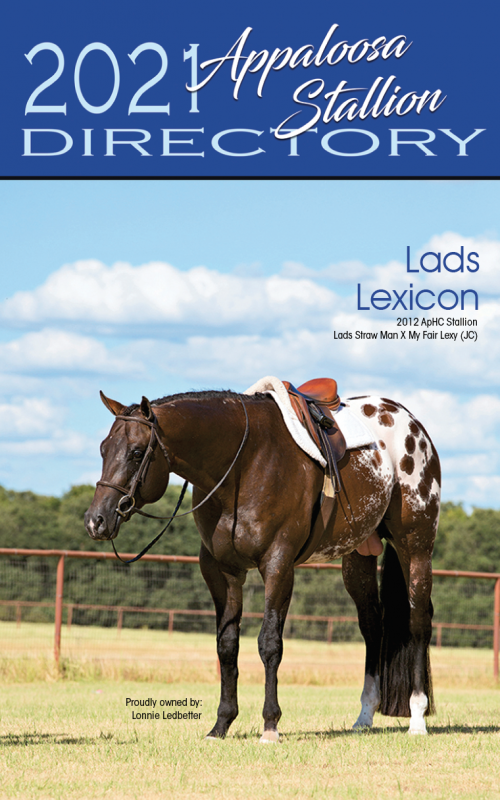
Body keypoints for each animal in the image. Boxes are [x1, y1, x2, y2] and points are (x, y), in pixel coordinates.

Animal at [84, 386, 441, 741]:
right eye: (103, 449)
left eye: (136, 452)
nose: (95, 520)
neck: (242, 465)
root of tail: (412, 424)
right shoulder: (221, 570)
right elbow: (227, 645)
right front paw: (221, 724)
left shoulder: (277, 564)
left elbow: (270, 643)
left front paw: (270, 725)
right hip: (358, 556)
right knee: (372, 626)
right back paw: (364, 716)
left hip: (416, 546)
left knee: (418, 622)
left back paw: (417, 718)